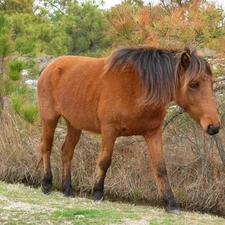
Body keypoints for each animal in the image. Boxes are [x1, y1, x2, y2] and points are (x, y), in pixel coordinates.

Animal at [38, 45, 220, 214]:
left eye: (211, 83)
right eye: (193, 84)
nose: (214, 126)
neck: (139, 87)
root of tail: (48, 67)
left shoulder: (153, 133)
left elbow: (160, 167)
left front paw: (171, 203)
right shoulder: (109, 130)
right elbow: (104, 161)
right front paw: (98, 194)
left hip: (74, 125)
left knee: (66, 152)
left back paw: (67, 189)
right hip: (49, 119)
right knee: (46, 147)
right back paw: (46, 183)